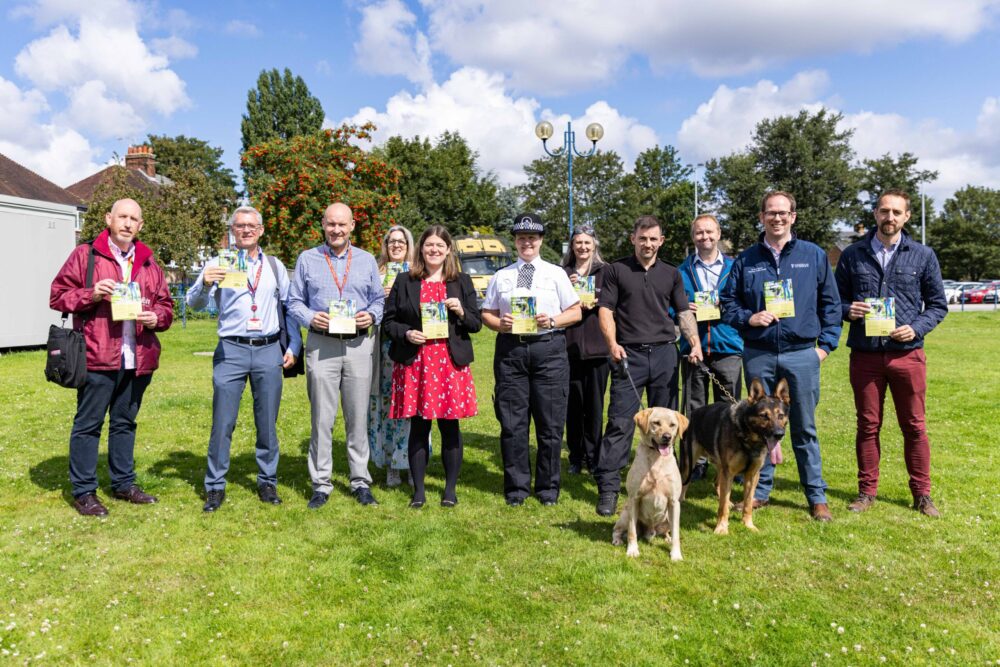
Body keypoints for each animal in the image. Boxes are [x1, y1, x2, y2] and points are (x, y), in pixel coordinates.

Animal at [608, 410, 688, 560]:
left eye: (672, 425)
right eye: (656, 423)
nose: (667, 437)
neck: (657, 459)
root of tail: (650, 531)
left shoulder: (674, 502)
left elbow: (676, 533)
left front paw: (675, 554)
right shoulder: (634, 499)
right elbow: (632, 532)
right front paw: (632, 550)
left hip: (667, 518)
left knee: (667, 531)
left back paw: (666, 538)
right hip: (626, 514)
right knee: (617, 529)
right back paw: (617, 540)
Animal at [680, 378, 788, 536]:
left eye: (780, 416)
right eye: (764, 416)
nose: (779, 434)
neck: (748, 439)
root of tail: (693, 414)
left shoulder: (752, 475)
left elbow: (747, 504)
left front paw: (748, 525)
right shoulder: (729, 472)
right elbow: (722, 507)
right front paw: (721, 528)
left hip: (721, 467)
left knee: (717, 483)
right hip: (689, 463)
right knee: (684, 483)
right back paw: (680, 500)